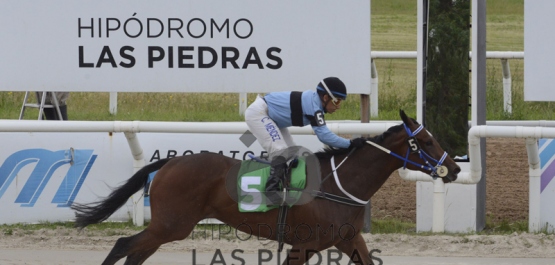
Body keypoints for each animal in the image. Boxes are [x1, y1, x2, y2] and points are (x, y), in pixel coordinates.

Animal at [70, 108, 460, 262]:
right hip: (173, 224)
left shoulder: (348, 239)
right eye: (426, 141)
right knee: (124, 245)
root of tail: (173, 161)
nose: (455, 168)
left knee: (136, 252)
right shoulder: (305, 245)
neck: (339, 184)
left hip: (168, 226)